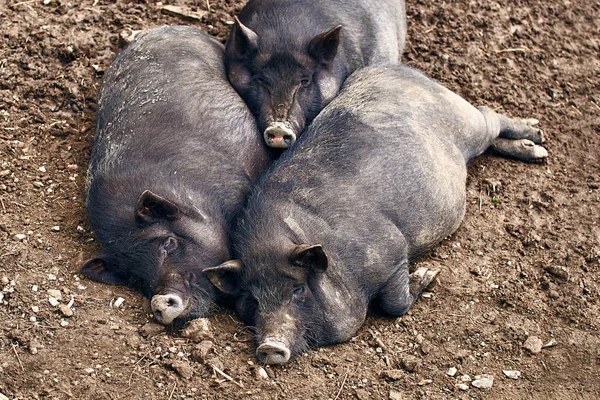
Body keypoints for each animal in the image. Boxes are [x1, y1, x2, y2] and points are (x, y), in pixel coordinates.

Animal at [205, 64, 548, 364]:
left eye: (298, 289)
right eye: (252, 299)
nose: (269, 346)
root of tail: (394, 68)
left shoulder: (393, 249)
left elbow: (395, 303)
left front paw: (428, 274)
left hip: (469, 122)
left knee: (490, 115)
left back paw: (539, 140)